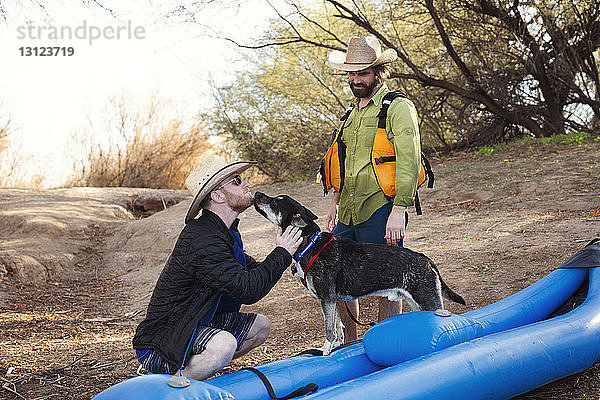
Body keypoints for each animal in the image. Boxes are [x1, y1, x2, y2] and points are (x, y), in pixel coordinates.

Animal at [253, 192, 464, 354]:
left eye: (275, 202)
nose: (256, 193)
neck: (310, 245)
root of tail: (426, 259)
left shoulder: (326, 300)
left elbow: (329, 329)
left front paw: (325, 350)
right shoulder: (332, 301)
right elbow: (338, 327)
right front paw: (336, 347)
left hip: (429, 301)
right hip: (417, 304)